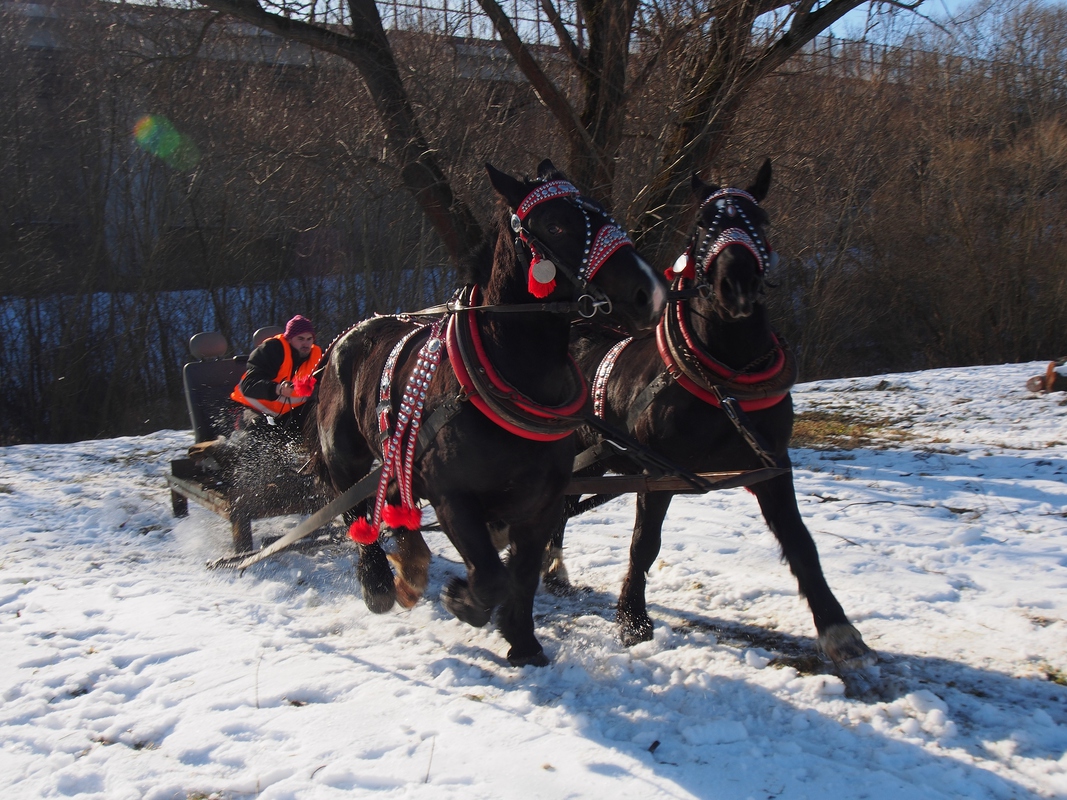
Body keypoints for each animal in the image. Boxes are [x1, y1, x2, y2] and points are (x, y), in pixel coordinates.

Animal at [311, 159, 667, 666]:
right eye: (556, 224)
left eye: (602, 211)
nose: (650, 292)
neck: (506, 378)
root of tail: (346, 335)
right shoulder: (454, 498)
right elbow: (492, 576)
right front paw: (464, 601)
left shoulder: (541, 504)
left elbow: (523, 575)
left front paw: (523, 642)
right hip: (345, 457)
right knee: (356, 513)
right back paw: (379, 584)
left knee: (394, 501)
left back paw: (412, 570)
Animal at [545, 160, 876, 672]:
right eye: (702, 224)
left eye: (760, 219)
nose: (735, 283)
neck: (723, 378)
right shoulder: (657, 474)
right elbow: (644, 544)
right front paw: (633, 620)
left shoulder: (771, 466)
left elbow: (801, 543)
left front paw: (837, 628)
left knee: (559, 509)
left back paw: (554, 570)